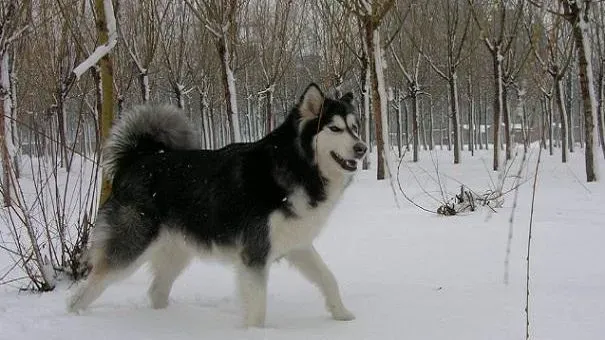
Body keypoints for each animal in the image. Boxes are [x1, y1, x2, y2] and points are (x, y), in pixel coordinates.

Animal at [68, 82, 366, 326]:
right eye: (335, 128)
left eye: (355, 128)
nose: (362, 148)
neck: (298, 166)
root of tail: (137, 158)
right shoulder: (255, 255)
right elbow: (258, 307)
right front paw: (256, 333)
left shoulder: (298, 245)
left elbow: (328, 278)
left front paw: (342, 314)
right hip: (131, 247)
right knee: (85, 291)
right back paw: (76, 317)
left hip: (177, 251)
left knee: (156, 291)